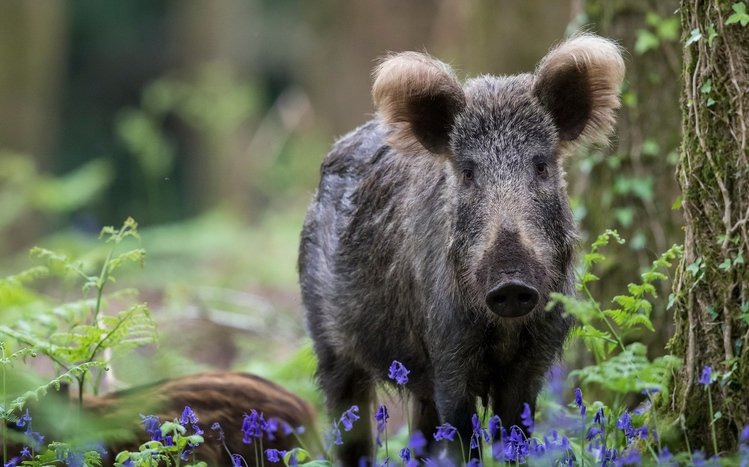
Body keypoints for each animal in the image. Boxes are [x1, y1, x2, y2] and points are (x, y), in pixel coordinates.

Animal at [298, 34, 624, 465]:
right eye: (468, 172)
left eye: (540, 166)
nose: (510, 282)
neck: (503, 331)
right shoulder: (448, 350)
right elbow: (461, 437)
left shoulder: (536, 356)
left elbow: (515, 434)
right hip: (328, 341)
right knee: (349, 424)